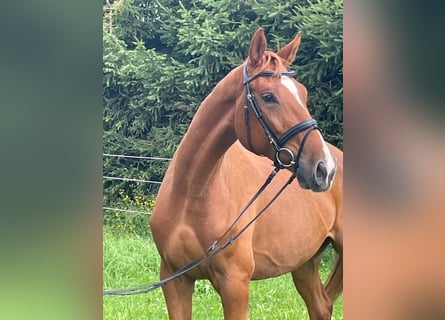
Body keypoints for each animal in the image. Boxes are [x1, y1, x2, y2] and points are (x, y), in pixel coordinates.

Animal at [150, 28, 344, 318]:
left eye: (303, 94)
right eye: (268, 96)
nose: (325, 168)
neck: (192, 194)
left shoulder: (235, 284)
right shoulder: (175, 280)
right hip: (305, 263)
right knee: (321, 306)